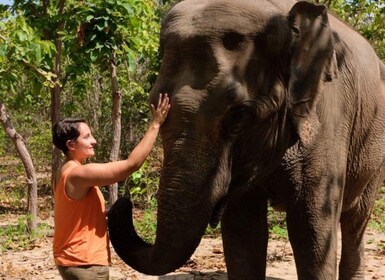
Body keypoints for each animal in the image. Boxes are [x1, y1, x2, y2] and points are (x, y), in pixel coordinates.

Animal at [107, 0, 384, 280]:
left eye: (239, 116)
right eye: (154, 103)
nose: (123, 201)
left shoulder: (327, 117)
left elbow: (311, 229)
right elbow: (243, 232)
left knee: (356, 221)